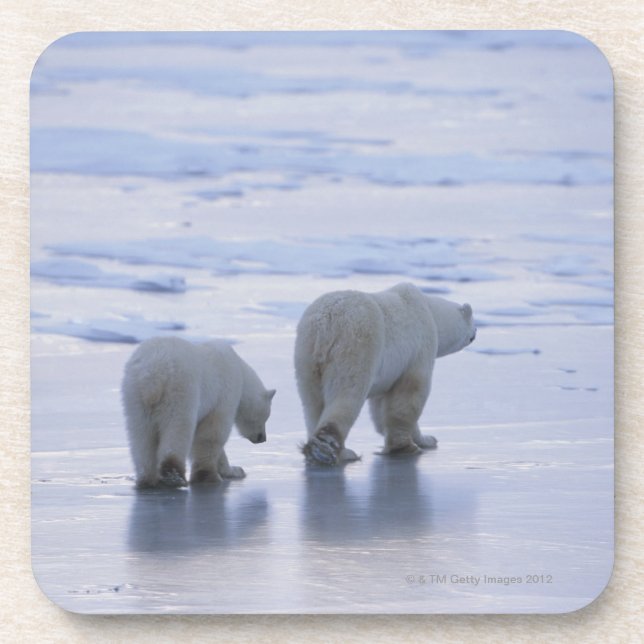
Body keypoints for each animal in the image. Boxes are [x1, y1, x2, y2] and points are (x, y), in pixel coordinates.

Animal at [121, 336, 275, 488]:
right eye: (265, 417)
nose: (262, 438)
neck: (241, 371)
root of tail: (153, 374)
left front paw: (234, 470)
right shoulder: (224, 392)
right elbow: (212, 434)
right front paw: (210, 475)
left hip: (135, 397)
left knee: (141, 436)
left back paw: (146, 478)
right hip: (180, 390)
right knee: (178, 430)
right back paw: (173, 477)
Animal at [294, 282, 475, 465]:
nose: (475, 333)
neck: (432, 313)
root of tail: (325, 327)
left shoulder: (388, 370)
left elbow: (380, 406)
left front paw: (423, 438)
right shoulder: (419, 348)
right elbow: (410, 396)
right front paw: (410, 445)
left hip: (306, 357)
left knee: (312, 404)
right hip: (356, 346)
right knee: (347, 395)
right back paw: (337, 452)